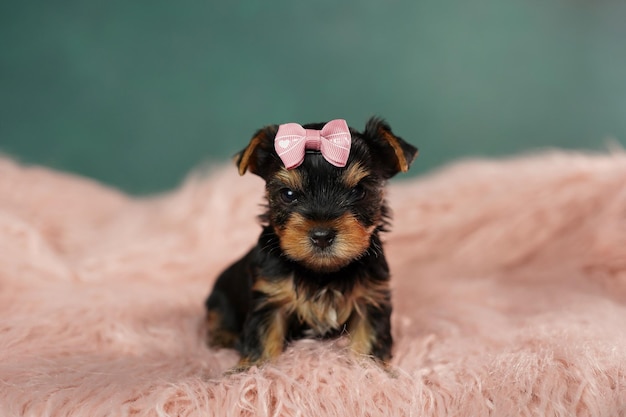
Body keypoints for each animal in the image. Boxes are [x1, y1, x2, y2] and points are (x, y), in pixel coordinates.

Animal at [205, 117, 416, 368]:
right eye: (287, 194)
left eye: (359, 191)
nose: (322, 236)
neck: (322, 272)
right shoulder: (270, 297)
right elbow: (263, 337)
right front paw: (254, 369)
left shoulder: (371, 298)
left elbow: (369, 338)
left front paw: (370, 369)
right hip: (221, 295)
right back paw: (221, 335)